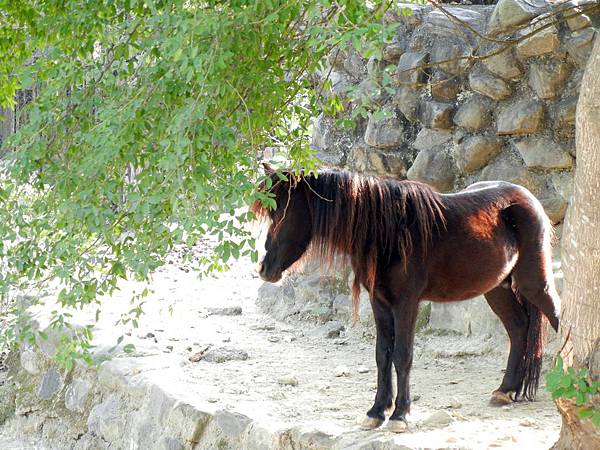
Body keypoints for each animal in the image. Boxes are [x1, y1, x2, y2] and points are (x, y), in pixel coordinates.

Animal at [251, 164, 560, 432]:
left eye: (281, 213)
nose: (265, 269)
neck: (387, 233)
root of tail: (528, 198)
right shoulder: (379, 303)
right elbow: (382, 355)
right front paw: (376, 411)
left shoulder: (406, 304)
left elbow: (402, 355)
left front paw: (400, 414)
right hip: (497, 288)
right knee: (519, 328)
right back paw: (506, 391)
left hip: (535, 283)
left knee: (557, 317)